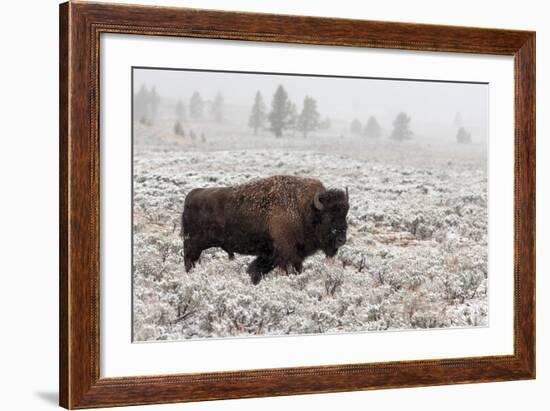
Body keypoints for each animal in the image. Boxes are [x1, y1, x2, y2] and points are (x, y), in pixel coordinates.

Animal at [183, 174, 352, 284]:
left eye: (345, 214)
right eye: (328, 216)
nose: (341, 239)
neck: (305, 209)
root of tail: (191, 195)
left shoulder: (271, 255)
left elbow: (255, 270)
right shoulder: (288, 255)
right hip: (193, 246)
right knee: (189, 262)